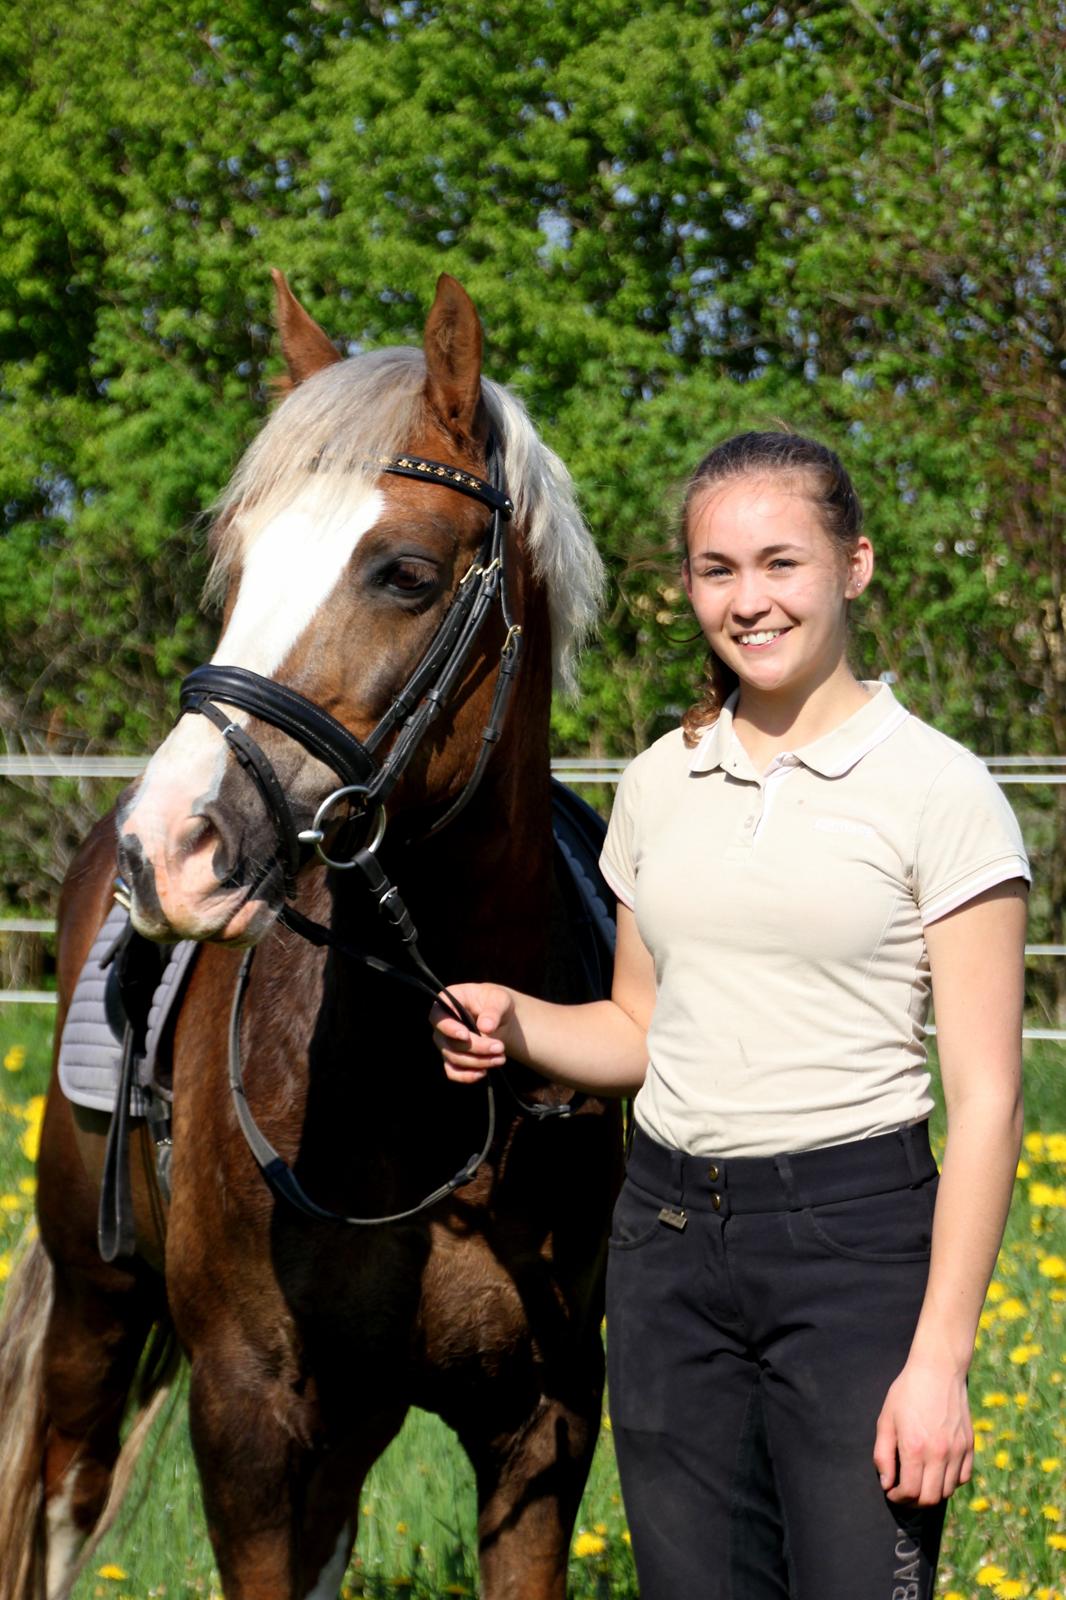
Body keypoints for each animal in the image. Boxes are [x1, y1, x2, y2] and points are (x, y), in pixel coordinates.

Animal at [0, 272, 622, 1600]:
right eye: (238, 566)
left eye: (404, 572)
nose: (168, 846)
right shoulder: (246, 1424)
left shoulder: (542, 1429)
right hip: (94, 1311)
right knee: (65, 1504)